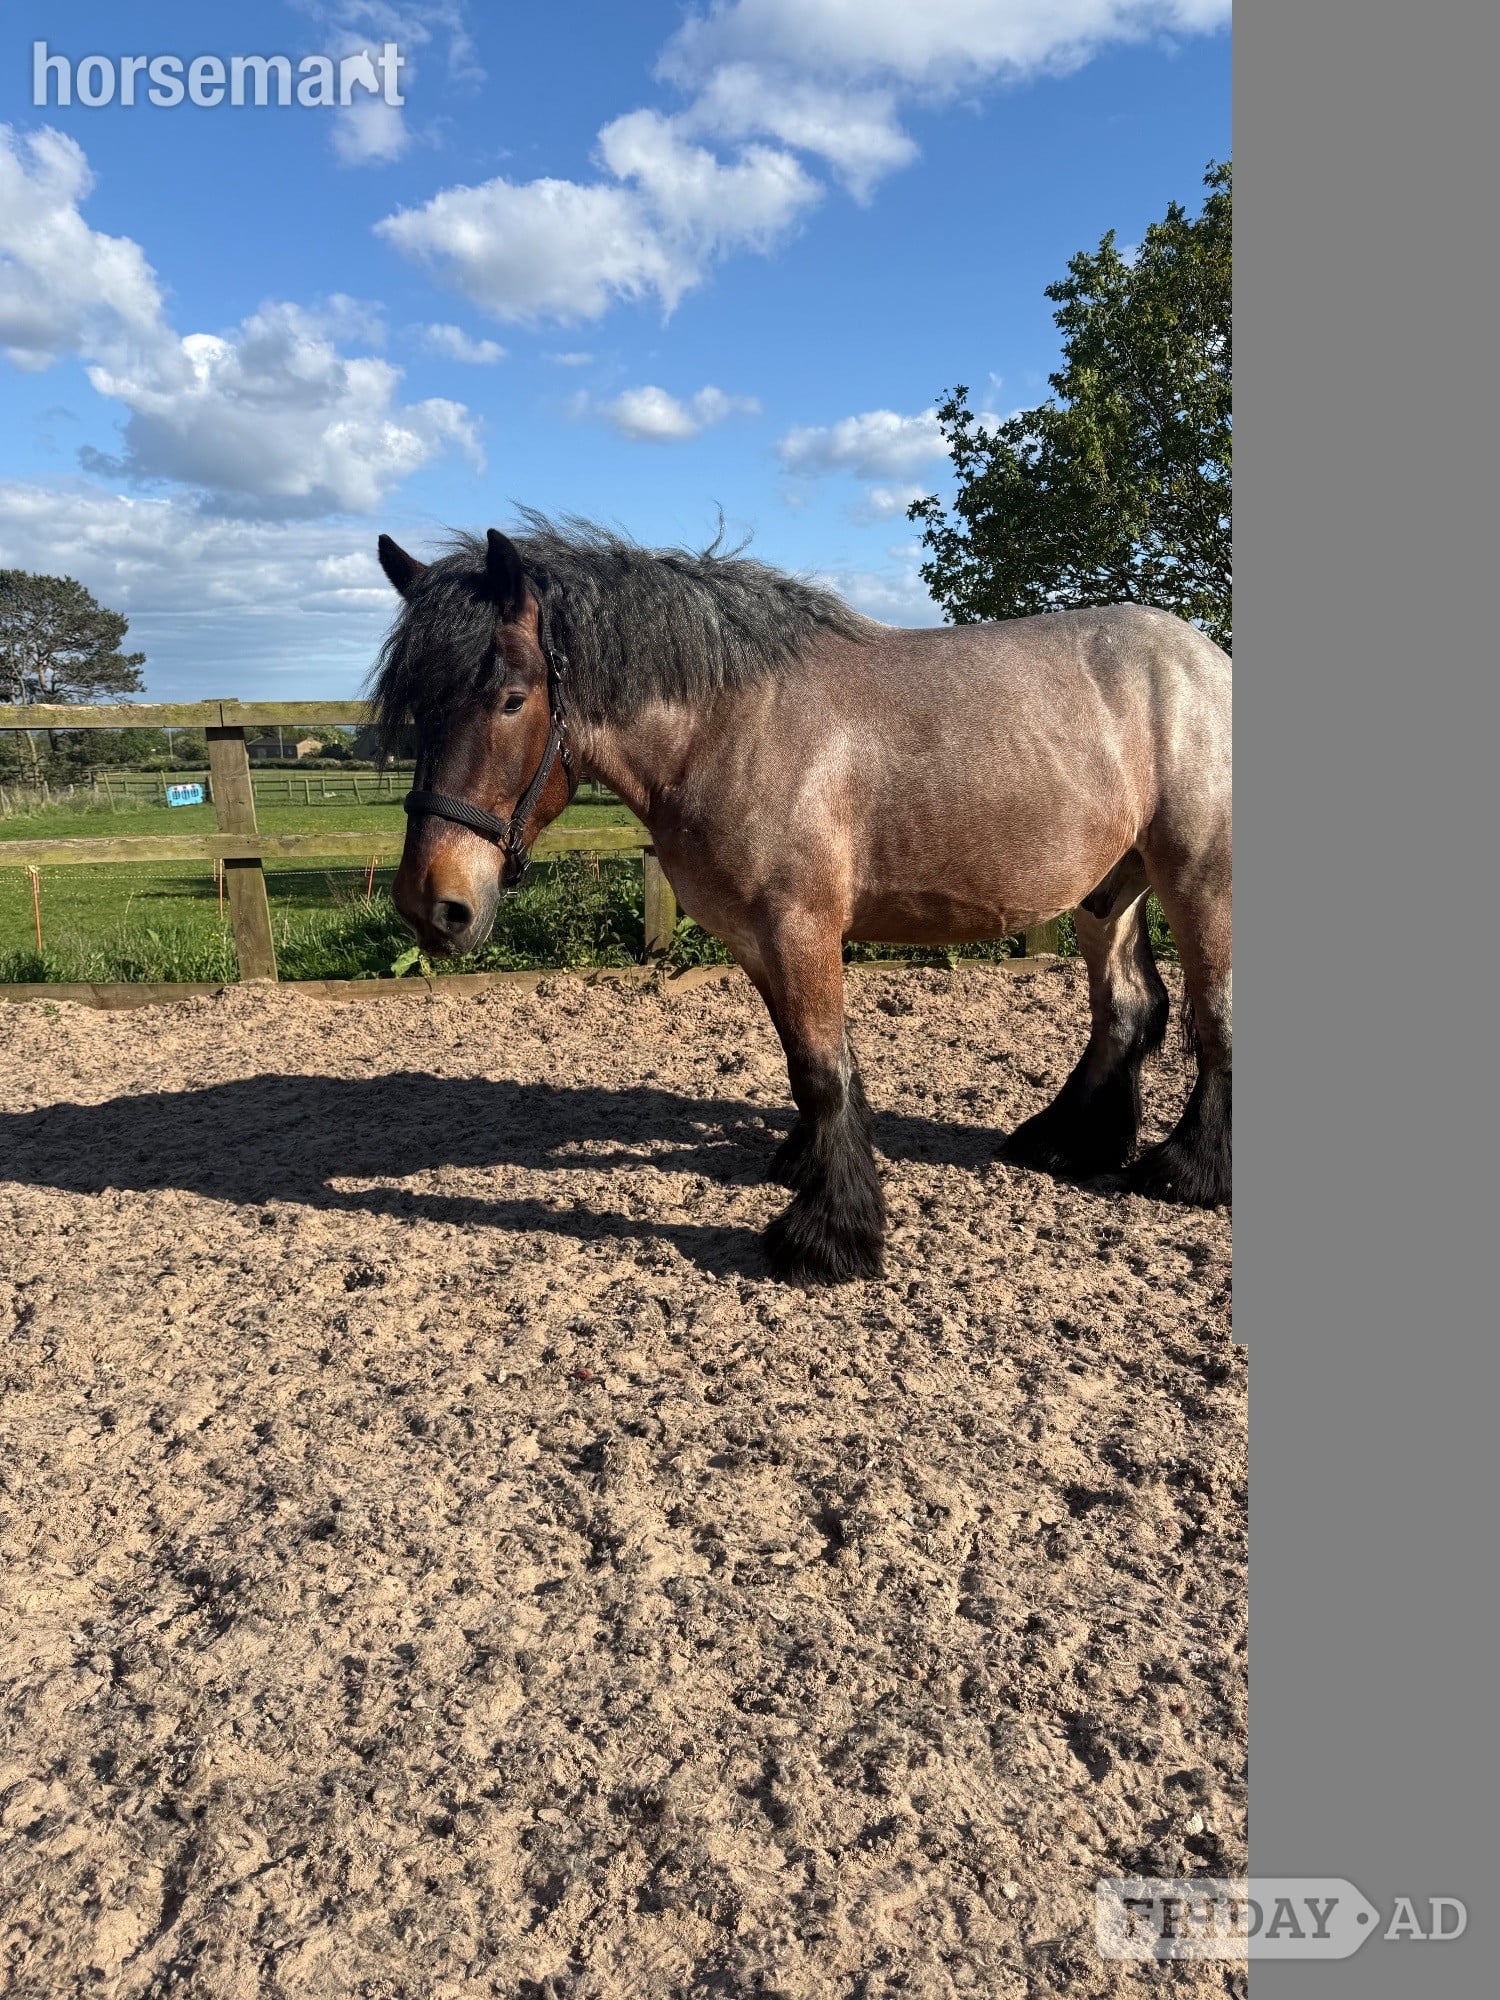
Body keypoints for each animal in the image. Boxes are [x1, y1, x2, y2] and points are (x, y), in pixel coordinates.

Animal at [372, 518, 1232, 1285]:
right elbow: (808, 1063)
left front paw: (830, 1235)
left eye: (512, 699)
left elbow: (822, 1068)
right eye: (415, 709)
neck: (730, 727)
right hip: (1109, 890)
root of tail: (1203, 657)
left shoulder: (799, 927)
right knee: (1127, 1007)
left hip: (1199, 878)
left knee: (1212, 1014)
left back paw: (1189, 1170)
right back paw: (1068, 1143)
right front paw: (811, 1168)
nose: (434, 906)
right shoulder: (757, 938)